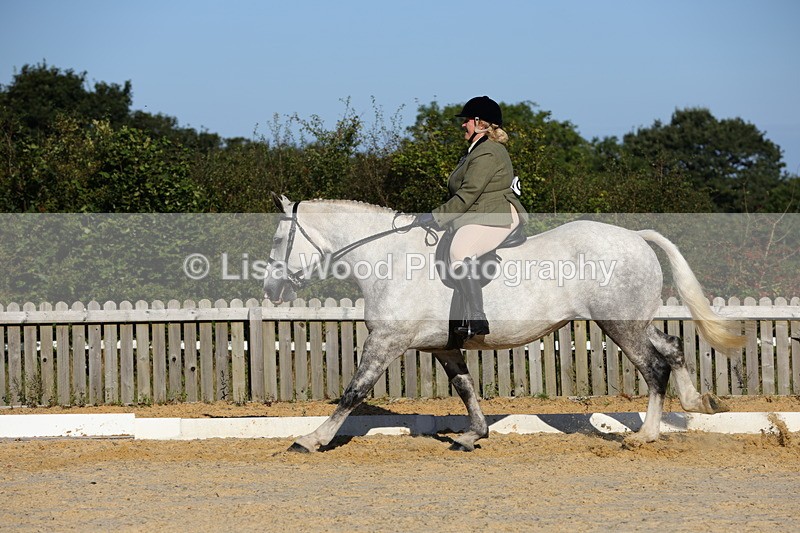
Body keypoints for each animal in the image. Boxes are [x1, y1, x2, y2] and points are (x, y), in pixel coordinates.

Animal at [263, 195, 744, 453]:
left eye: (278, 238)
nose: (270, 289)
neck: (390, 259)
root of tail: (634, 237)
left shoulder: (386, 341)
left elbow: (354, 392)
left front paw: (312, 438)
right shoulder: (442, 346)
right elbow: (465, 388)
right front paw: (472, 435)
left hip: (618, 324)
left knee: (653, 367)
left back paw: (645, 435)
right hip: (633, 322)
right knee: (673, 346)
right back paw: (698, 402)